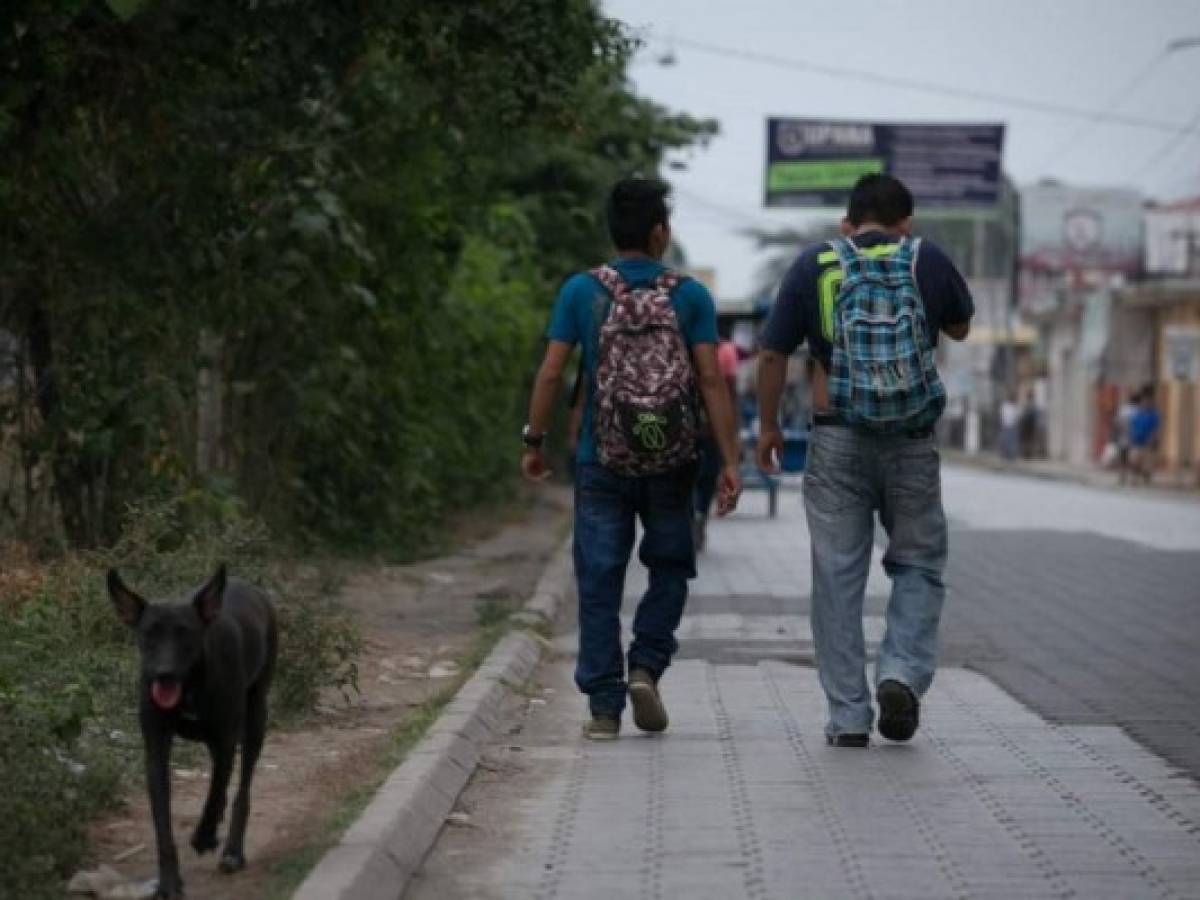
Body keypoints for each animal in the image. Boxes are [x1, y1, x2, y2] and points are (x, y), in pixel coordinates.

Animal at [107, 566, 276, 897]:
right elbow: (162, 822)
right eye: (149, 634)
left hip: (255, 717)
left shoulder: (226, 740)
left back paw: (232, 850)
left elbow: (215, 790)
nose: (164, 674)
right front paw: (169, 882)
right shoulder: (156, 749)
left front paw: (204, 836)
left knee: (241, 786)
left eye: (185, 633)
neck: (189, 687)